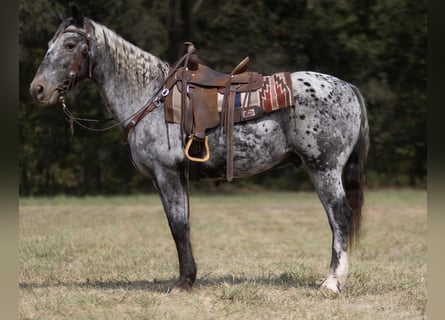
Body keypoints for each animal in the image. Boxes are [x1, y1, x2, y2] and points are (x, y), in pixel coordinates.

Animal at [28, 5, 368, 296]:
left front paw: (183, 283)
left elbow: (178, 226)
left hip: (324, 168)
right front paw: (188, 277)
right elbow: (181, 223)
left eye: (71, 45)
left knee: (339, 216)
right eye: (50, 44)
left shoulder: (167, 173)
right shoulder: (168, 179)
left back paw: (332, 283)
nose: (38, 89)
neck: (150, 96)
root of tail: (349, 88)